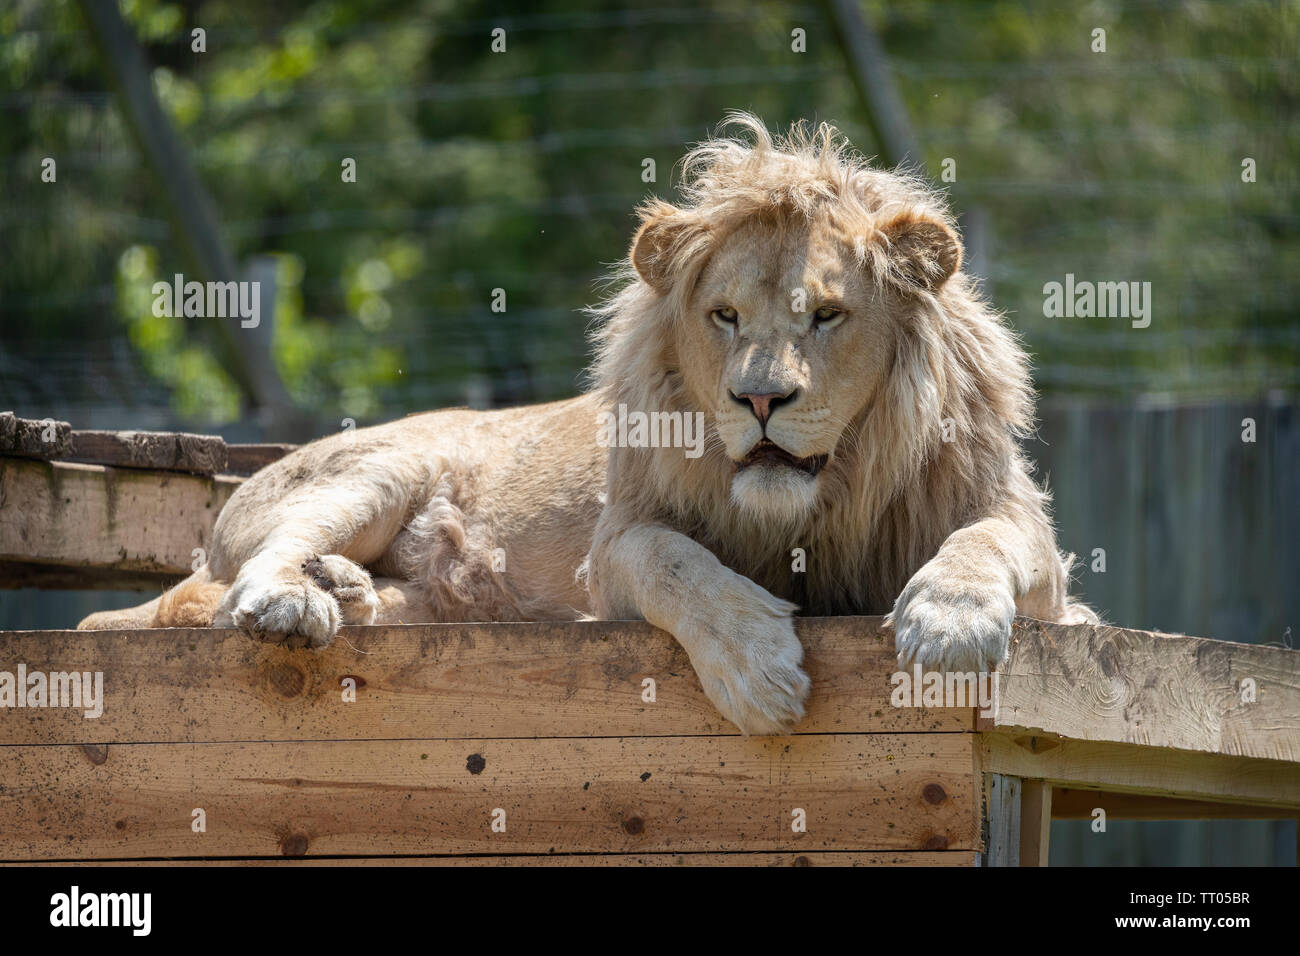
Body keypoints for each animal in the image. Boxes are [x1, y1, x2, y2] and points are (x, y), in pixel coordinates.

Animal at [80, 113, 1096, 734]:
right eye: (724, 316)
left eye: (826, 315)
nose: (759, 400)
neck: (818, 501)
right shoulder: (613, 552)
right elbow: (672, 562)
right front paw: (756, 665)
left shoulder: (1032, 547)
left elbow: (986, 541)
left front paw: (949, 621)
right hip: (377, 466)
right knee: (228, 588)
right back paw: (298, 601)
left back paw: (352, 592)